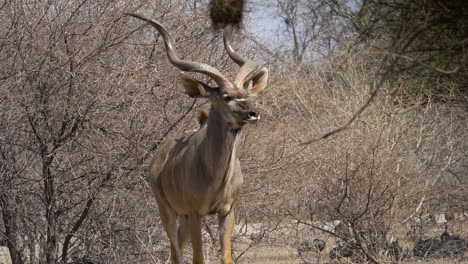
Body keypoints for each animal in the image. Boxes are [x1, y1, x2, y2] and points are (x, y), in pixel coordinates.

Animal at [126, 14, 268, 264]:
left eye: (246, 94)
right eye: (226, 96)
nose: (253, 113)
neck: (214, 174)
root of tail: (157, 158)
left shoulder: (227, 212)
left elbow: (226, 257)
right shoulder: (195, 213)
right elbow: (198, 258)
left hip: (182, 217)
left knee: (176, 252)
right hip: (167, 211)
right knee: (175, 253)